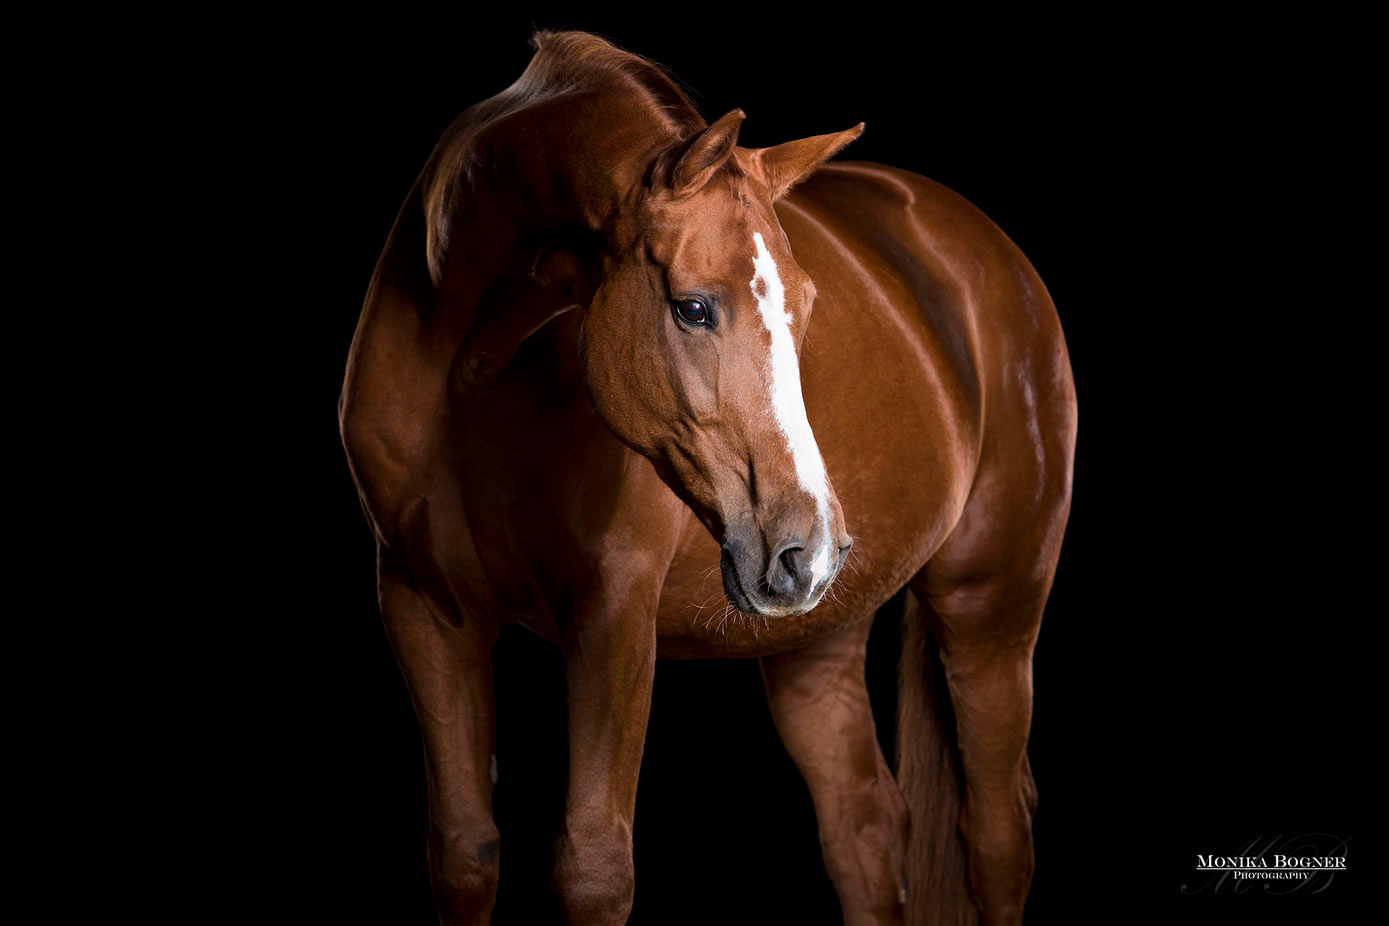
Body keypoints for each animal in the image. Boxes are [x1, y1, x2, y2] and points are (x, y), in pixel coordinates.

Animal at [341, 28, 1077, 926]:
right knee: (865, 826)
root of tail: (982, 247)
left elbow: (592, 867)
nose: (808, 550)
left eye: (805, 305)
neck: (475, 370)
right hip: (816, 645)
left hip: (990, 611)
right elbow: (464, 855)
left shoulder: (612, 614)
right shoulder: (421, 608)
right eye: (693, 307)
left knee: (996, 835)